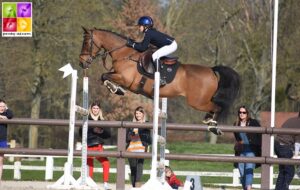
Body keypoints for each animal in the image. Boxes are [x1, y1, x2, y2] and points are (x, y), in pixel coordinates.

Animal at [78, 27, 240, 135]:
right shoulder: (119, 75)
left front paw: (116, 89)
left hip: (197, 102)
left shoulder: (125, 79)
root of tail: (212, 70)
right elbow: (104, 76)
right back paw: (210, 121)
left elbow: (105, 76)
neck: (124, 53)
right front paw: (116, 89)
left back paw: (212, 124)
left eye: (86, 42)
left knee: (217, 107)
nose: (82, 62)